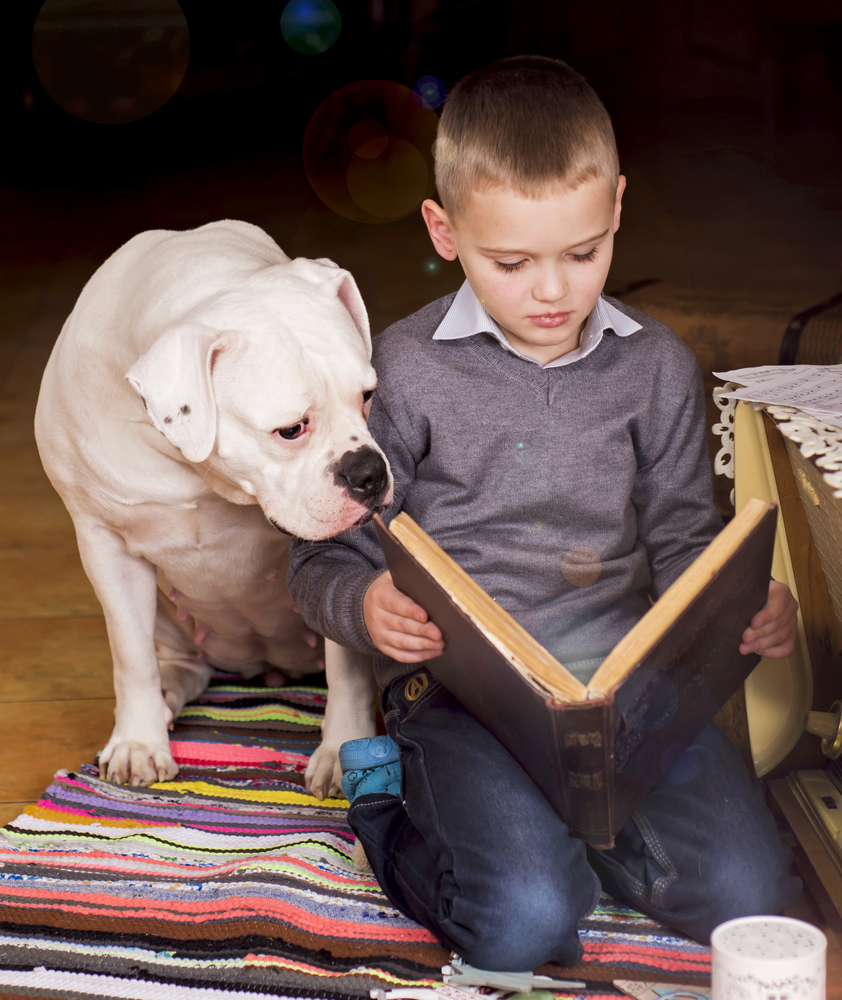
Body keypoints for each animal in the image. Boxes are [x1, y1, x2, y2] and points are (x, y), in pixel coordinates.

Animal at [32, 221, 388, 796]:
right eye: (291, 429)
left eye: (368, 396)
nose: (369, 473)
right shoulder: (104, 544)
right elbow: (131, 656)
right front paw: (138, 742)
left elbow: (347, 663)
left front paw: (342, 751)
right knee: (179, 663)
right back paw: (163, 699)